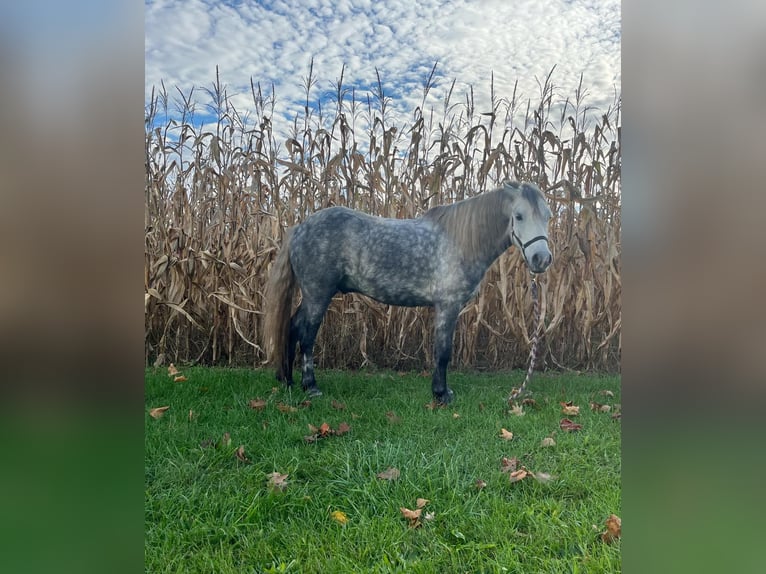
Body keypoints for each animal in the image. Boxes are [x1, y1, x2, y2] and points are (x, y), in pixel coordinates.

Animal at [264, 180, 553, 404]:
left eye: (548, 216)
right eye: (519, 216)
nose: (541, 259)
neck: (459, 242)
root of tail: (300, 228)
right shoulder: (447, 306)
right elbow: (443, 351)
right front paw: (441, 394)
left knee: (292, 327)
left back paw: (288, 380)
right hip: (317, 294)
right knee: (306, 335)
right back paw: (310, 386)